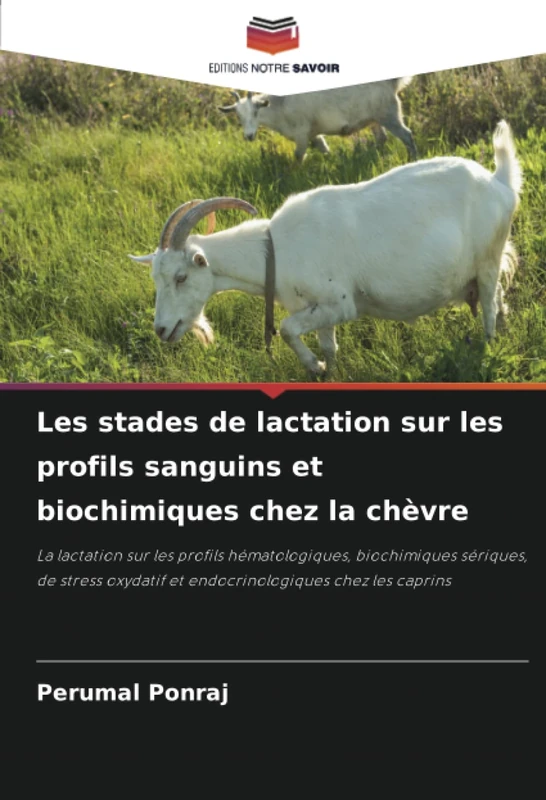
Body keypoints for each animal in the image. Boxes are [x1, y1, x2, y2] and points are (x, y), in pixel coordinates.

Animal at [129, 121, 521, 378]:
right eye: (156, 279)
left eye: (181, 277)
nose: (161, 330)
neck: (276, 249)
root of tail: (499, 182)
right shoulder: (317, 308)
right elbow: (328, 345)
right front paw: (328, 370)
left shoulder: (339, 303)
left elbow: (286, 329)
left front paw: (314, 366)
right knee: (499, 298)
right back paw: (504, 332)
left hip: (487, 260)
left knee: (488, 307)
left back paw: (487, 346)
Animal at [218, 79, 417, 163]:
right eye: (238, 116)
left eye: (256, 112)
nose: (249, 136)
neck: (280, 105)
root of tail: (392, 83)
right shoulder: (312, 134)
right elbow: (324, 148)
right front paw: (331, 161)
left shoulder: (301, 133)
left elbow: (298, 156)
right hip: (375, 119)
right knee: (382, 138)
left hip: (389, 115)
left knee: (407, 136)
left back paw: (412, 159)